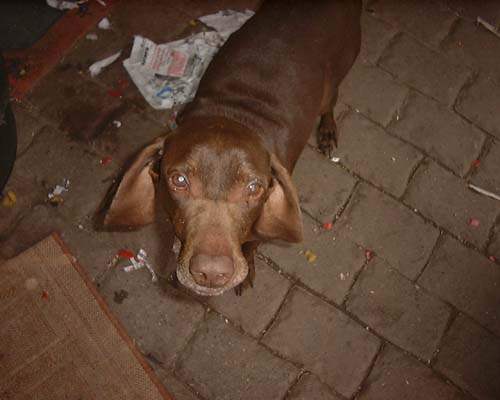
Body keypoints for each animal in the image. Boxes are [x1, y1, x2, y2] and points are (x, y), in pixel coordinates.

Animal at [103, 0, 360, 296]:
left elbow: (251, 244)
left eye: (254, 187)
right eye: (179, 181)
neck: (234, 112)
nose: (211, 274)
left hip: (333, 79)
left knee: (329, 103)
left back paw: (327, 131)